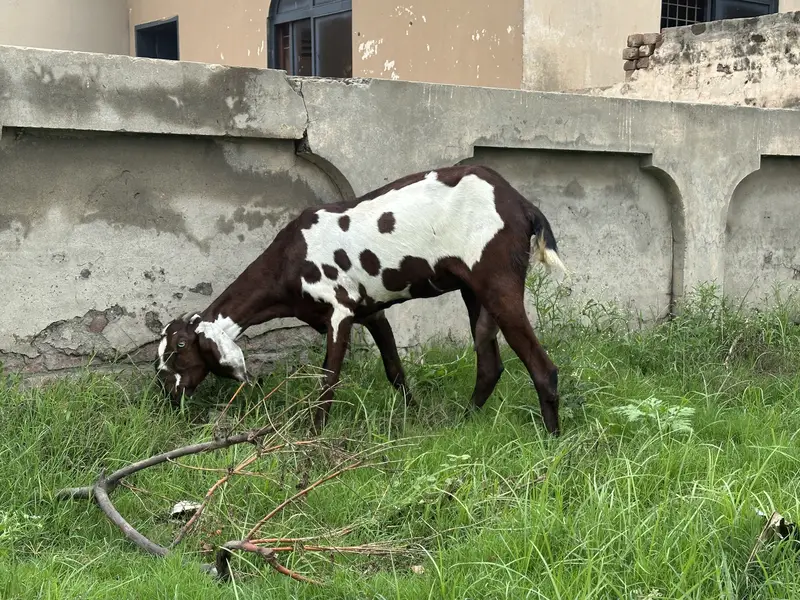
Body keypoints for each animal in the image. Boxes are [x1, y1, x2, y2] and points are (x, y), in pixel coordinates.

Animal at [155, 165, 567, 434]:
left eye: (179, 348)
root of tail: (521, 204)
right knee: (489, 365)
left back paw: (551, 442)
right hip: (476, 297)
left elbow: (328, 381)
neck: (290, 257)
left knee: (543, 368)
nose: (162, 389)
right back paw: (464, 422)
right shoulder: (372, 314)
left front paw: (312, 436)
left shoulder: (340, 314)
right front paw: (414, 417)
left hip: (499, 288)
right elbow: (395, 371)